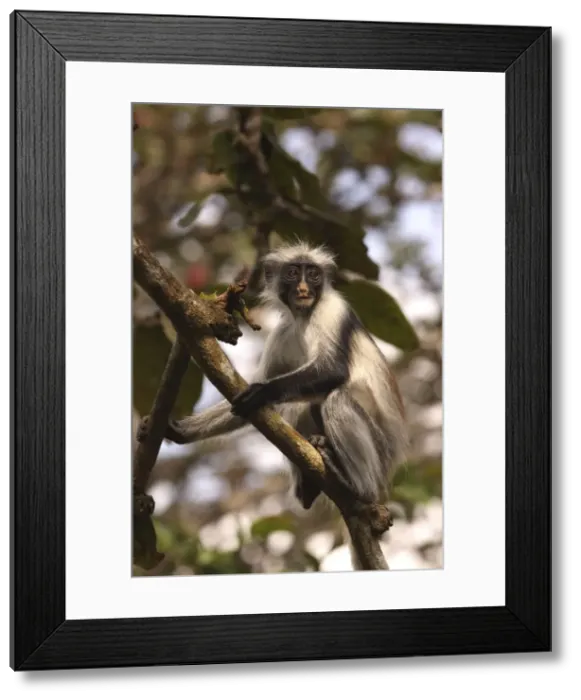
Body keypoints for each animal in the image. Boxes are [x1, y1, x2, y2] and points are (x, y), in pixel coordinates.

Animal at [137, 240, 408, 569]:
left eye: (313, 274)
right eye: (293, 273)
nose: (303, 288)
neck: (304, 316)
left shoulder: (333, 310)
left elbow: (332, 371)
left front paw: (261, 392)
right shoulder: (283, 332)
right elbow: (242, 403)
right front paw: (174, 430)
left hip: (380, 454)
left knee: (335, 398)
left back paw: (357, 487)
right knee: (300, 406)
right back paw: (308, 488)